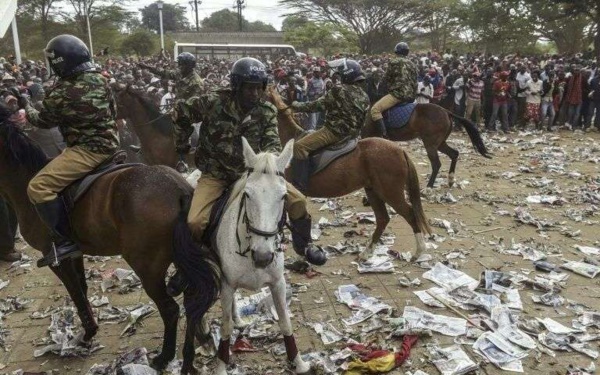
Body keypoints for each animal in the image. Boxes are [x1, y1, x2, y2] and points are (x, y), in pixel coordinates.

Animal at [0, 122, 220, 374]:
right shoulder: (75, 254)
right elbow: (82, 288)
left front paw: (88, 333)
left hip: (147, 266)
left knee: (170, 309)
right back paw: (195, 350)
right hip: (183, 259)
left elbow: (75, 292)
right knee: (193, 299)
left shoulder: (55, 257)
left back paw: (165, 357)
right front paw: (87, 330)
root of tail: (179, 189)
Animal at [212, 138, 310, 375]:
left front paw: (298, 362)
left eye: (283, 196)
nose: (263, 257)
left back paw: (239, 319)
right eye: (247, 194)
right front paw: (221, 365)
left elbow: (285, 321)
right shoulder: (226, 283)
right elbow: (225, 327)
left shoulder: (278, 283)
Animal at [268, 86, 432, 262]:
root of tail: (400, 150)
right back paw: (367, 253)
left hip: (390, 192)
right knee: (383, 219)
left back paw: (419, 251)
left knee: (410, 214)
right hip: (373, 191)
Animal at [360, 102, 492, 188]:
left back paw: (429, 185)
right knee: (454, 154)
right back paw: (450, 179)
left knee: (437, 164)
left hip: (430, 144)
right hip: (440, 144)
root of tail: (447, 112)